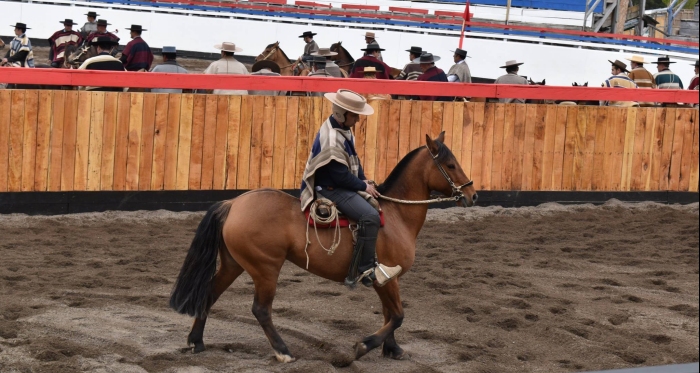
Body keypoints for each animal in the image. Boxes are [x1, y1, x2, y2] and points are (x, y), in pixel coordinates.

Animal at [170, 132, 478, 362]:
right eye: (451, 165)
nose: (473, 194)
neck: (395, 215)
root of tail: (233, 203)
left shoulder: (387, 279)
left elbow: (391, 314)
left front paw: (392, 349)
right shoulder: (386, 278)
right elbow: (398, 316)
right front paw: (363, 347)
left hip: (234, 264)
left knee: (210, 294)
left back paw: (196, 341)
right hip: (265, 269)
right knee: (261, 310)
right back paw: (283, 351)